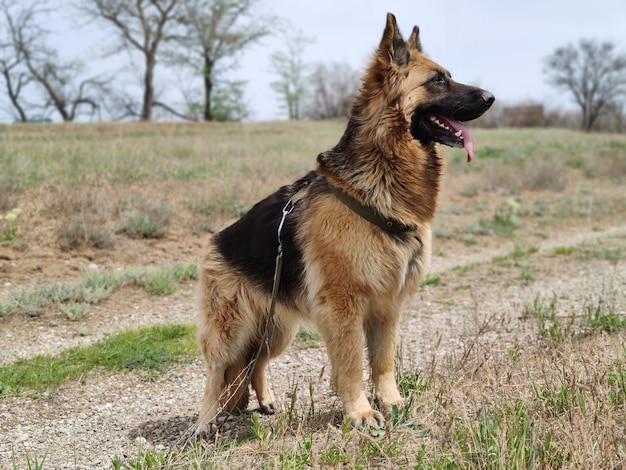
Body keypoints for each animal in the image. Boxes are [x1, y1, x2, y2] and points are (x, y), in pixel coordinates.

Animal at [197, 12, 494, 432]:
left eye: (448, 76)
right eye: (437, 80)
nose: (490, 98)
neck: (381, 175)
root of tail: (215, 241)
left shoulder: (388, 306)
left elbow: (383, 362)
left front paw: (392, 403)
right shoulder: (343, 307)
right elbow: (352, 365)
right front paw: (361, 413)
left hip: (275, 329)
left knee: (253, 364)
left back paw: (264, 400)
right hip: (231, 329)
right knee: (216, 372)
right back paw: (206, 421)